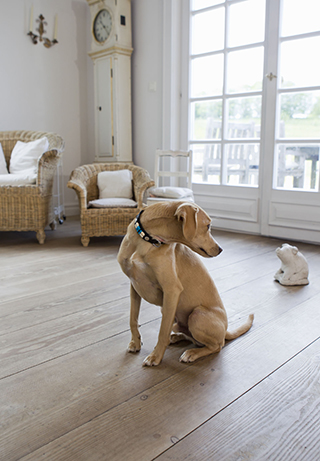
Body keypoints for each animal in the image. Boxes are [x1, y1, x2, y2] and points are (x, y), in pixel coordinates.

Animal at [116, 201, 254, 366]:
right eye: (208, 225)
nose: (220, 249)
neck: (147, 239)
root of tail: (225, 330)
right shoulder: (134, 286)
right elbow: (133, 319)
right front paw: (135, 343)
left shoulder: (172, 290)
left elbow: (162, 331)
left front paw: (155, 356)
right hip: (174, 316)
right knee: (190, 337)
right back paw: (176, 337)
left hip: (197, 315)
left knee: (216, 346)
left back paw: (192, 353)